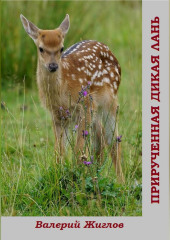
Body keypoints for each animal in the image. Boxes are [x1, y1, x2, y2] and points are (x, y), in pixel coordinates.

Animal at [20, 13, 125, 182]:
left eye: (61, 48)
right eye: (41, 48)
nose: (53, 66)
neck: (63, 88)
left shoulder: (86, 105)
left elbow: (78, 151)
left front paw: (76, 177)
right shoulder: (56, 114)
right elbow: (59, 152)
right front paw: (59, 175)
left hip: (110, 100)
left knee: (113, 141)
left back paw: (121, 182)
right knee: (100, 138)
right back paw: (97, 173)